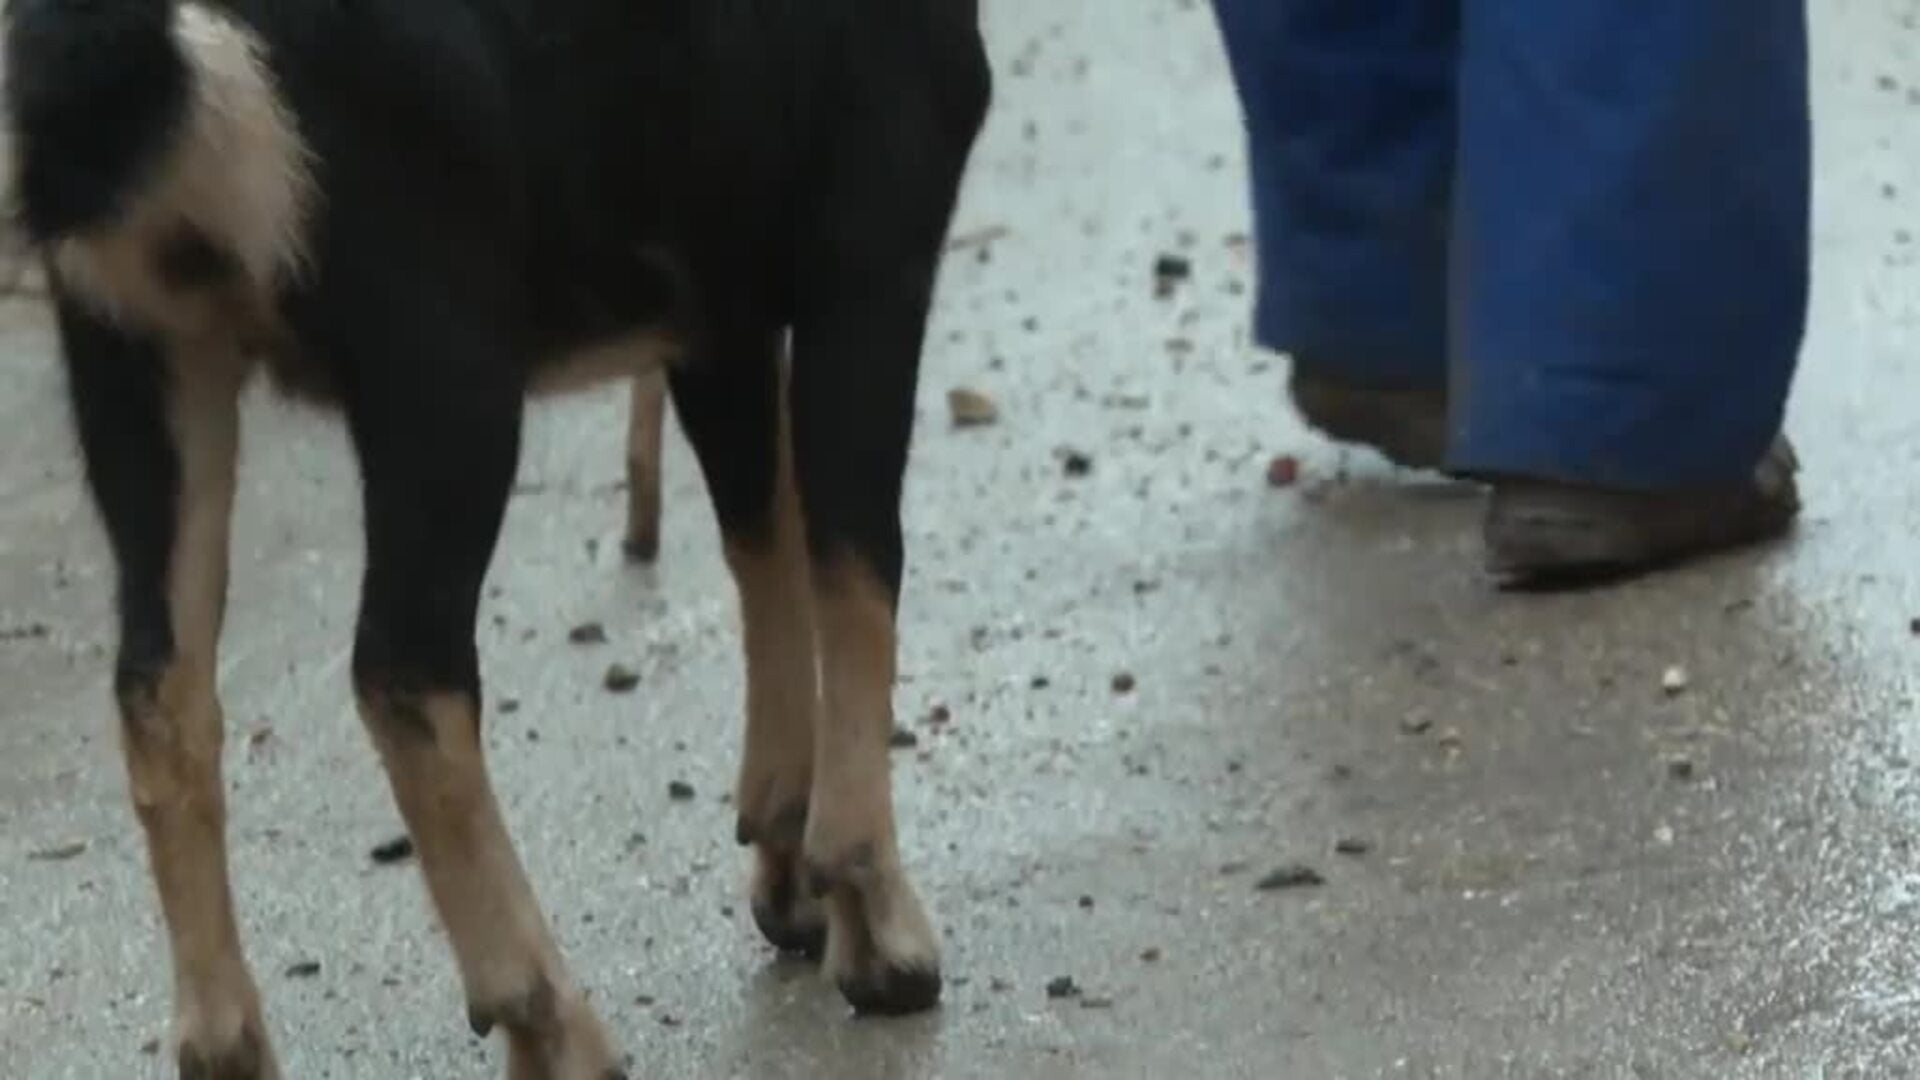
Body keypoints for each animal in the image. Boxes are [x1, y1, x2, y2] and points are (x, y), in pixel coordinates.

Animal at [3, 2, 990, 1068]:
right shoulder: (873, 227)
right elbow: (856, 562)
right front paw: (879, 931)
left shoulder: (716, 289)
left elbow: (767, 543)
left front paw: (789, 875)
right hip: (436, 347)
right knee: (403, 668)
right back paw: (554, 1024)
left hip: (142, 348)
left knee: (160, 684)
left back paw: (228, 1047)